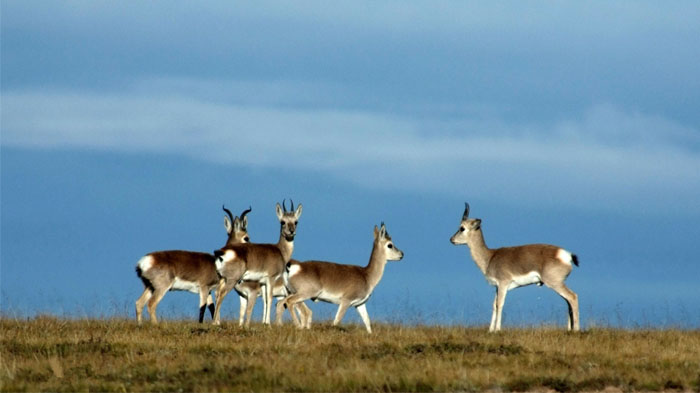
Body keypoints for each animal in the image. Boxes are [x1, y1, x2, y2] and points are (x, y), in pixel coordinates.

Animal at [448, 202, 580, 330]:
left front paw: (497, 329)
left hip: (554, 283)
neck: (491, 257)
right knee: (568, 302)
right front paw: (490, 330)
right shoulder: (497, 286)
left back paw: (576, 329)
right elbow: (494, 305)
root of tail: (566, 254)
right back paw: (569, 329)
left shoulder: (503, 283)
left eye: (462, 228)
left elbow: (500, 304)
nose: (451, 239)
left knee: (573, 297)